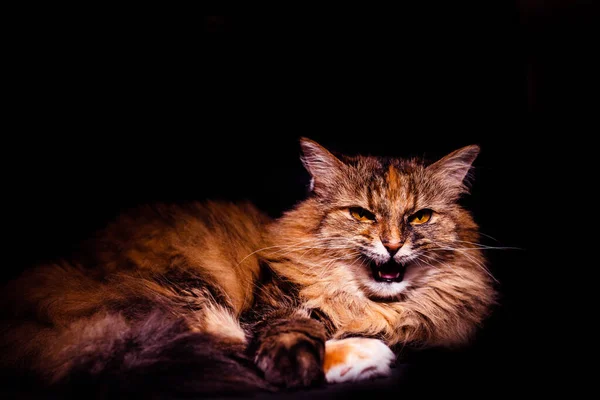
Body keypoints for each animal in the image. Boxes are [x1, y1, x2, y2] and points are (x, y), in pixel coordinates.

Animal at [1, 138, 496, 396]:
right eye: (361, 215)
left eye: (420, 218)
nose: (392, 245)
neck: (374, 308)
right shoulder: (273, 306)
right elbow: (285, 338)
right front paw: (308, 363)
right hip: (189, 292)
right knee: (224, 344)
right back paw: (367, 355)